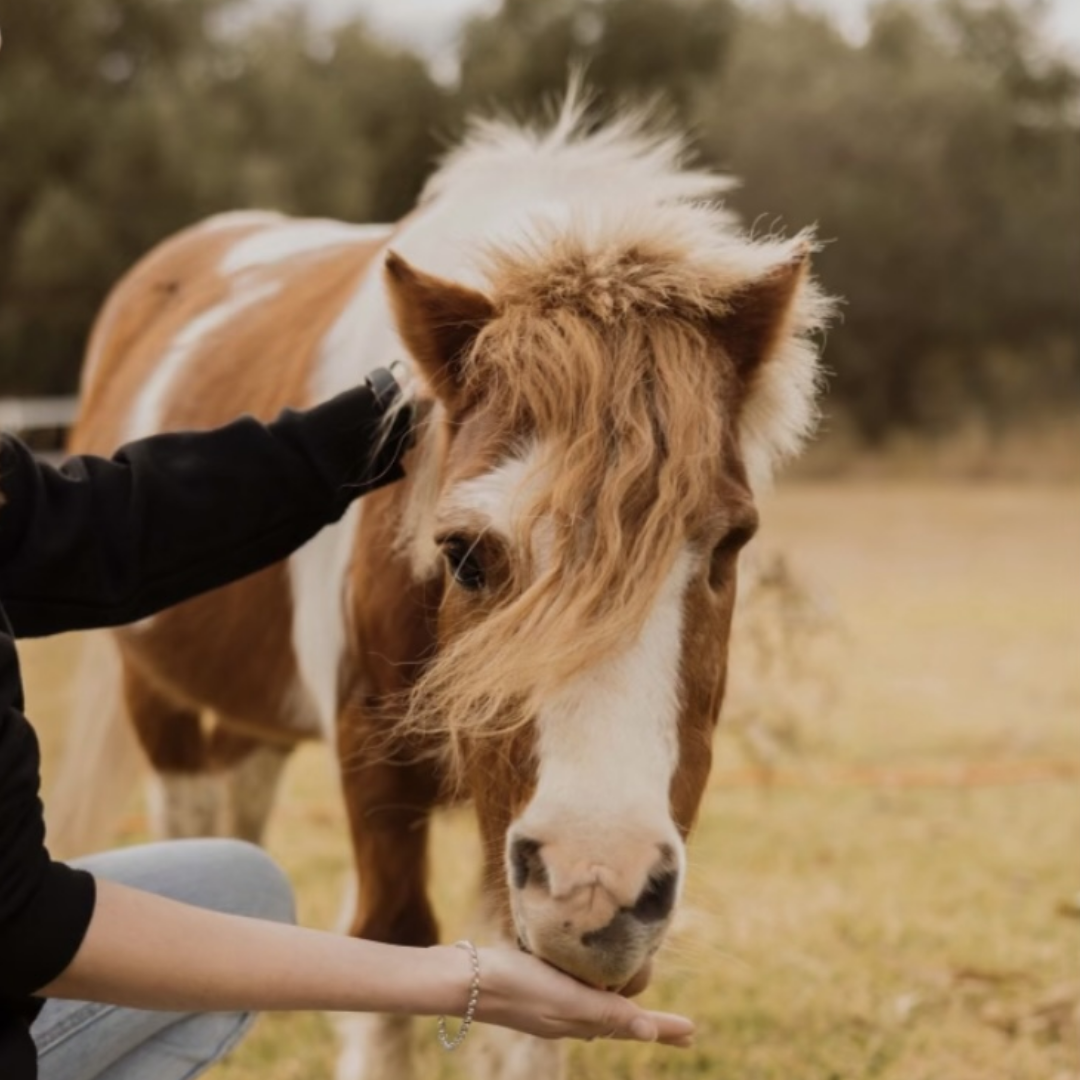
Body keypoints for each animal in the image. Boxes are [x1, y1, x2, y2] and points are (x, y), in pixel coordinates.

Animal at [57, 100, 831, 1079]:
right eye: (463, 554)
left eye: (730, 543)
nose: (599, 887)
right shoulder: (373, 764)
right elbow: (391, 956)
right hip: (156, 695)